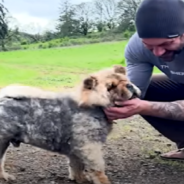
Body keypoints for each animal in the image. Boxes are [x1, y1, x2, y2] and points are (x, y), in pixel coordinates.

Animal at [0, 65, 141, 183]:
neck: (94, 106)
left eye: (125, 80)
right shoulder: (90, 147)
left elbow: (76, 167)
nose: (130, 85)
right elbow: (98, 170)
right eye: (110, 87)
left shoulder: (76, 149)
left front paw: (80, 179)